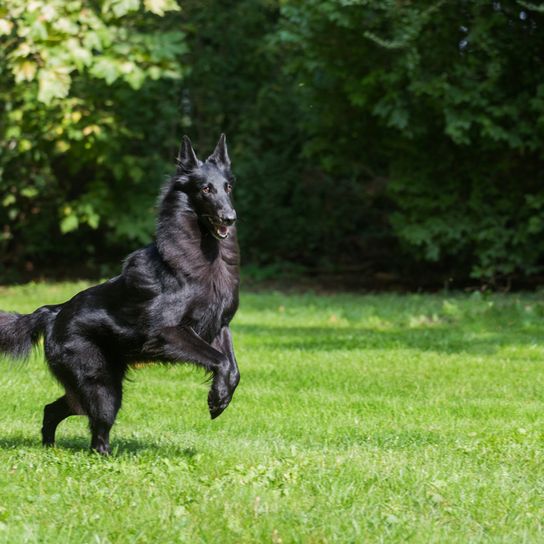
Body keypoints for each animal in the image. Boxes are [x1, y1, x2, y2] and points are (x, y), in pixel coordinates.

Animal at [0, 135, 240, 454]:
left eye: (228, 187)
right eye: (205, 189)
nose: (230, 217)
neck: (204, 254)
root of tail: (53, 311)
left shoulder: (218, 325)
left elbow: (232, 368)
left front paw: (222, 396)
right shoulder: (168, 332)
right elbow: (220, 361)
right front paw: (216, 399)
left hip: (95, 386)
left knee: (53, 409)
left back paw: (49, 447)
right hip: (102, 387)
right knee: (97, 433)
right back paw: (105, 457)